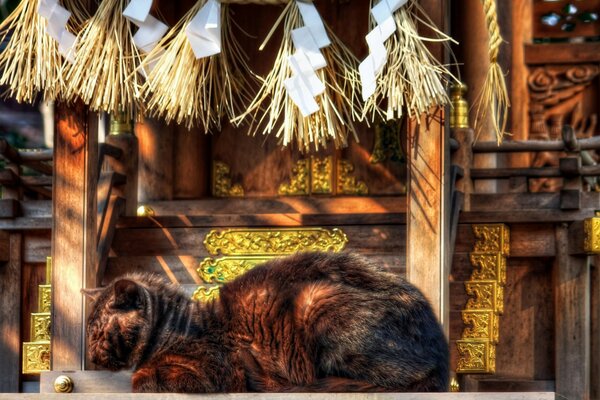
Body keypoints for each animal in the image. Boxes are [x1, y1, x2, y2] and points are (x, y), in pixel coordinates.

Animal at [84, 252, 450, 392]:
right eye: (89, 332)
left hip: (316, 300)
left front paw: (142, 376)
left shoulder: (213, 371)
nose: (89, 354)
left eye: (98, 331)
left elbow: (143, 378)